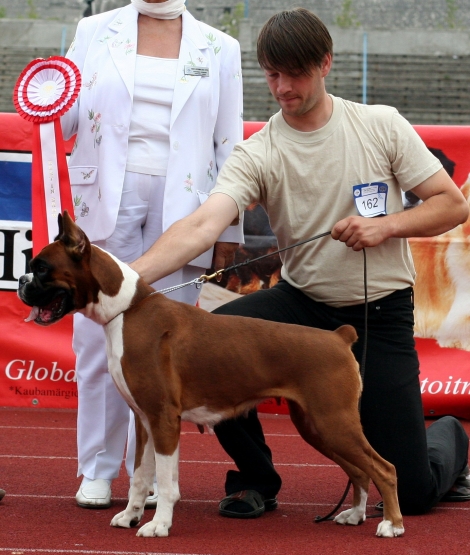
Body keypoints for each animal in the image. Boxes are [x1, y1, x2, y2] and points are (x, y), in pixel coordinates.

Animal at [17, 211, 404, 538]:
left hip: (333, 421)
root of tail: (339, 336)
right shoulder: (144, 420)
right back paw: (354, 514)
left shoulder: (164, 420)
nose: (21, 281)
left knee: (384, 468)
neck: (127, 309)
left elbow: (165, 482)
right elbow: (140, 476)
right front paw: (130, 516)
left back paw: (391, 524)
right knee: (359, 470)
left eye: (42, 268)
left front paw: (159, 526)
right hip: (317, 426)